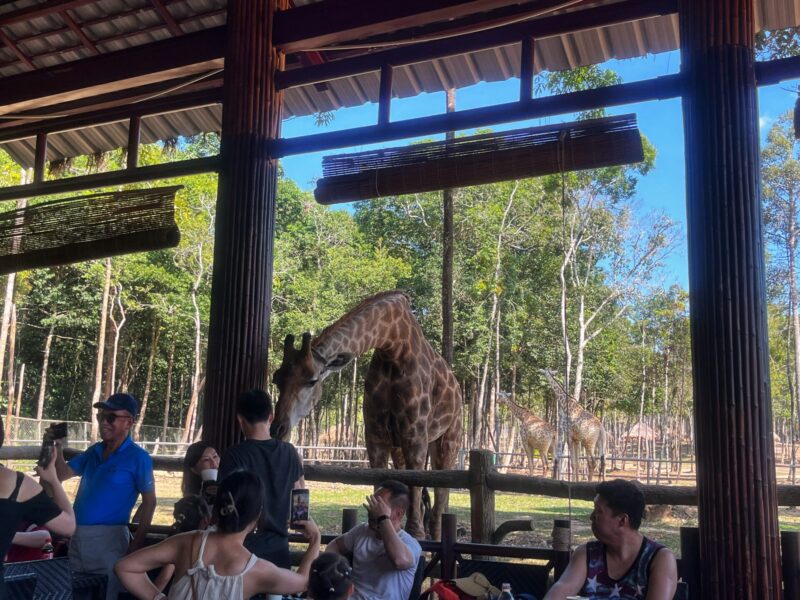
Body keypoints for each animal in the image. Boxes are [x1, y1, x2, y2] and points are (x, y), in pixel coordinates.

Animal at [270, 290, 462, 540]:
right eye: (276, 379)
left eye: (311, 380)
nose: (278, 429)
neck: (392, 345)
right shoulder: (375, 434)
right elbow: (380, 481)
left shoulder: (415, 434)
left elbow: (416, 482)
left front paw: (415, 533)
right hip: (398, 445)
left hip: (448, 440)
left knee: (441, 496)